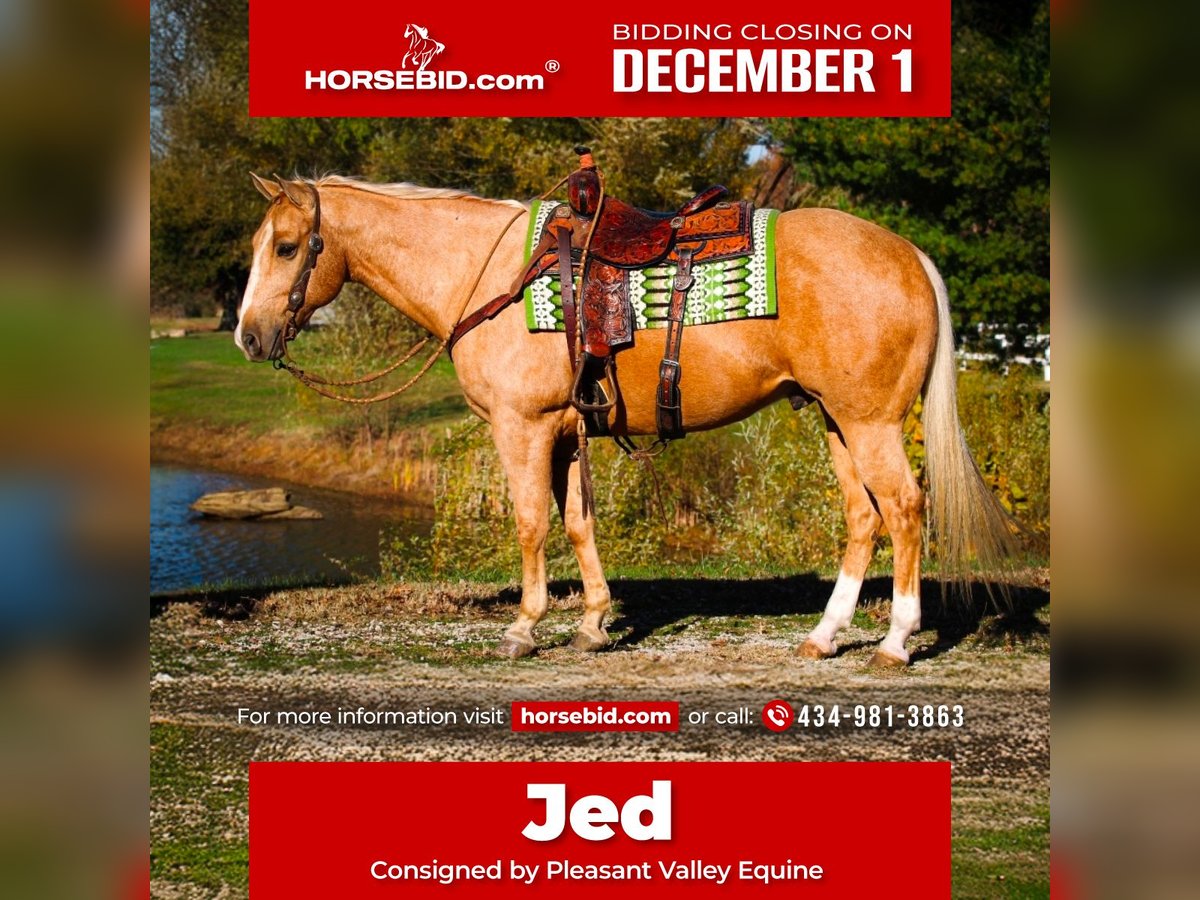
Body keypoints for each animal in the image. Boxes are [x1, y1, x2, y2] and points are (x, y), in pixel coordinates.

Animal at [235, 173, 1016, 667]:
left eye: (286, 247)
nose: (246, 336)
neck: (486, 274)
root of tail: (908, 253)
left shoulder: (522, 429)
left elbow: (531, 525)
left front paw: (524, 628)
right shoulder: (562, 431)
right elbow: (578, 524)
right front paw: (591, 623)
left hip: (871, 422)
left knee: (906, 509)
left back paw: (894, 642)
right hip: (837, 422)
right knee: (864, 518)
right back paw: (825, 635)